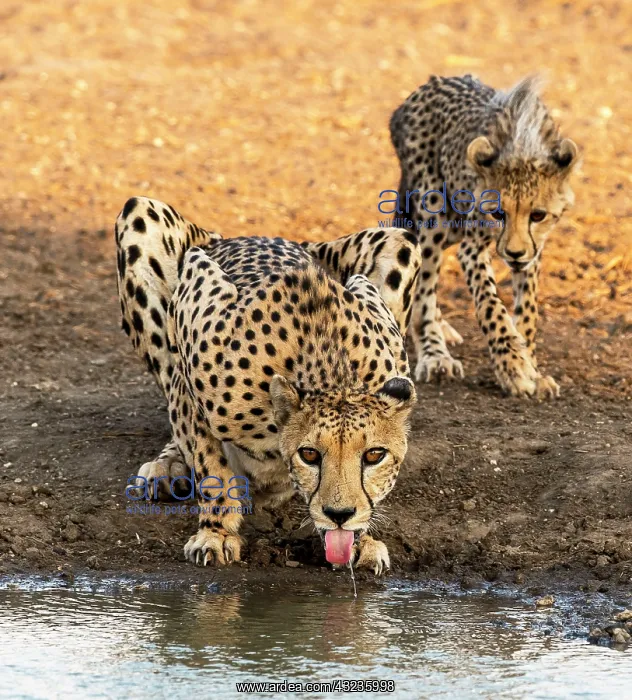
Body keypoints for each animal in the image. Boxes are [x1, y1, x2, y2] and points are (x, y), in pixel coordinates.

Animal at [115, 197, 421, 574]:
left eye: (374, 455)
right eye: (309, 454)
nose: (339, 514)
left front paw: (361, 539)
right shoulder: (191, 314)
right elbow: (210, 464)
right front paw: (216, 532)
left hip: (400, 241)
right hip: (141, 213)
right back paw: (167, 465)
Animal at [389, 75, 579, 399]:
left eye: (538, 215)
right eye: (498, 214)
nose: (514, 253)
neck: (521, 145)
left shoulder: (533, 253)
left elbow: (527, 310)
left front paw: (532, 366)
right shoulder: (472, 248)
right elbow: (491, 305)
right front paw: (513, 365)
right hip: (434, 216)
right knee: (424, 286)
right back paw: (435, 354)